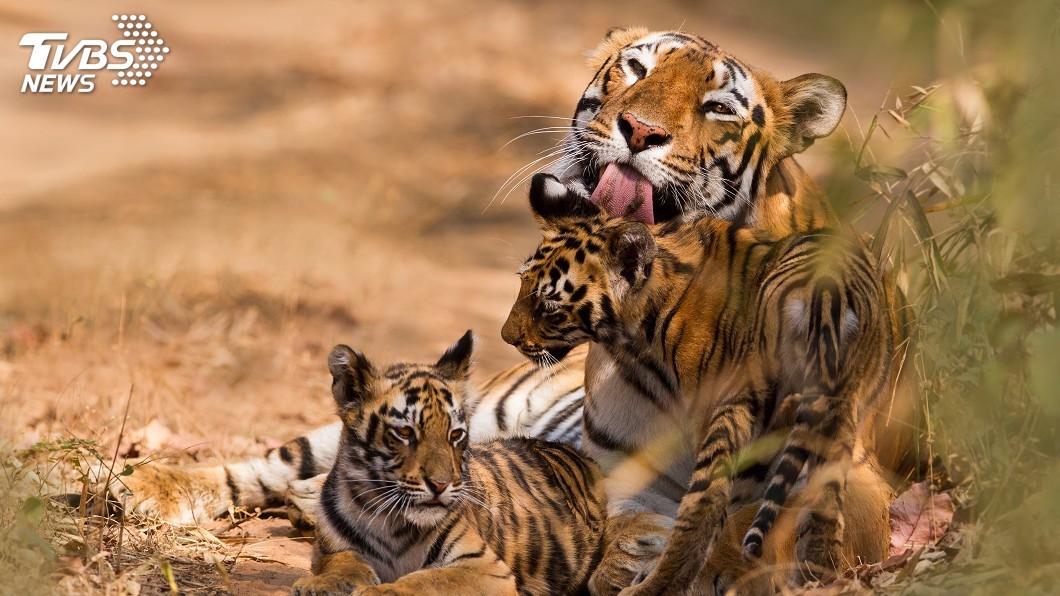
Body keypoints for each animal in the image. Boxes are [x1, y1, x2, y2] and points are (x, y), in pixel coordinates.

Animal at [292, 330, 607, 596]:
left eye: (455, 435)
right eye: (405, 432)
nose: (440, 485)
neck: (387, 520)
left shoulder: (485, 568)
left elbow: (426, 580)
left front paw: (379, 592)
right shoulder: (330, 549)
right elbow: (343, 563)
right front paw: (319, 584)